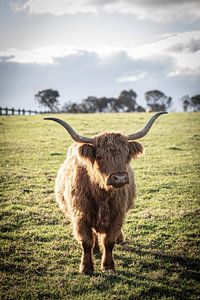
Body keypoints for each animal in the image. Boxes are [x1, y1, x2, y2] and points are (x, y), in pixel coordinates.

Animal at [45, 112, 167, 274]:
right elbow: (86, 242)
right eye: (100, 156)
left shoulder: (118, 214)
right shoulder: (80, 215)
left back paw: (118, 240)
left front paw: (108, 266)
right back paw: (96, 249)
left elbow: (109, 242)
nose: (120, 178)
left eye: (126, 156)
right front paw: (86, 267)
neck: (102, 195)